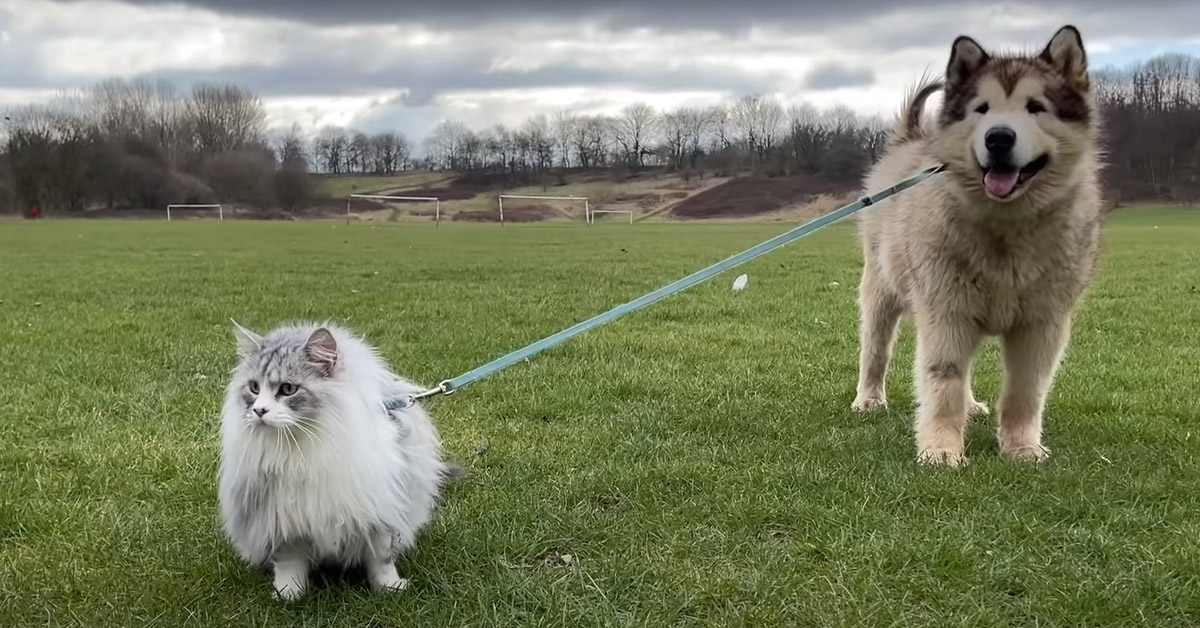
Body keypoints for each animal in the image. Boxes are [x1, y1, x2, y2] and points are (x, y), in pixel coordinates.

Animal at [216, 321, 458, 602]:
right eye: (254, 388)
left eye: (287, 389)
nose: (259, 411)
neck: (300, 448)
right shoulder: (280, 520)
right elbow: (289, 564)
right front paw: (289, 594)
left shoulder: (379, 513)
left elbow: (381, 560)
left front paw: (389, 589)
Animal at [854, 25, 1104, 465]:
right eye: (982, 109)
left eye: (1036, 107)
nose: (999, 138)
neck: (1007, 227)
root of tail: (910, 139)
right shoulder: (945, 311)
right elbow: (943, 383)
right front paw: (940, 450)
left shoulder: (1042, 323)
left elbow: (1025, 391)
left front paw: (1022, 447)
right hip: (881, 292)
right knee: (876, 349)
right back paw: (869, 399)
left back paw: (971, 406)